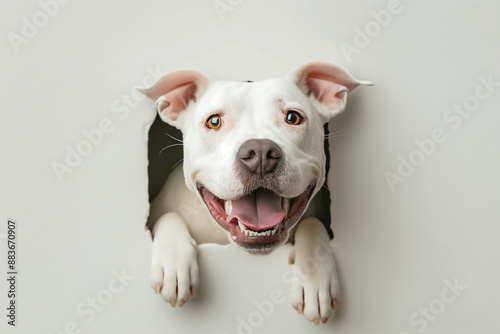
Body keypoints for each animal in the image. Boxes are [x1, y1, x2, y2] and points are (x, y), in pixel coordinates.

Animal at [139, 62, 370, 324]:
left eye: (293, 117)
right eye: (214, 121)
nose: (259, 153)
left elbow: (312, 223)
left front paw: (315, 278)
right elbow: (168, 216)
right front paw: (173, 265)